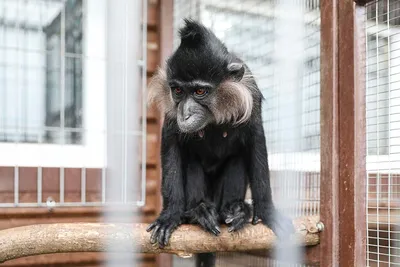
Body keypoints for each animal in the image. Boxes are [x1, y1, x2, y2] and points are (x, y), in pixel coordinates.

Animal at [146, 19, 294, 266]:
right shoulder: (171, 112)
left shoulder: (251, 95)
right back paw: (198, 212)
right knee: (192, 163)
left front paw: (267, 212)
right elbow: (171, 146)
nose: (185, 114)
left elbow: (256, 143)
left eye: (199, 91)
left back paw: (234, 210)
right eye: (178, 90)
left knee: (237, 159)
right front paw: (170, 215)